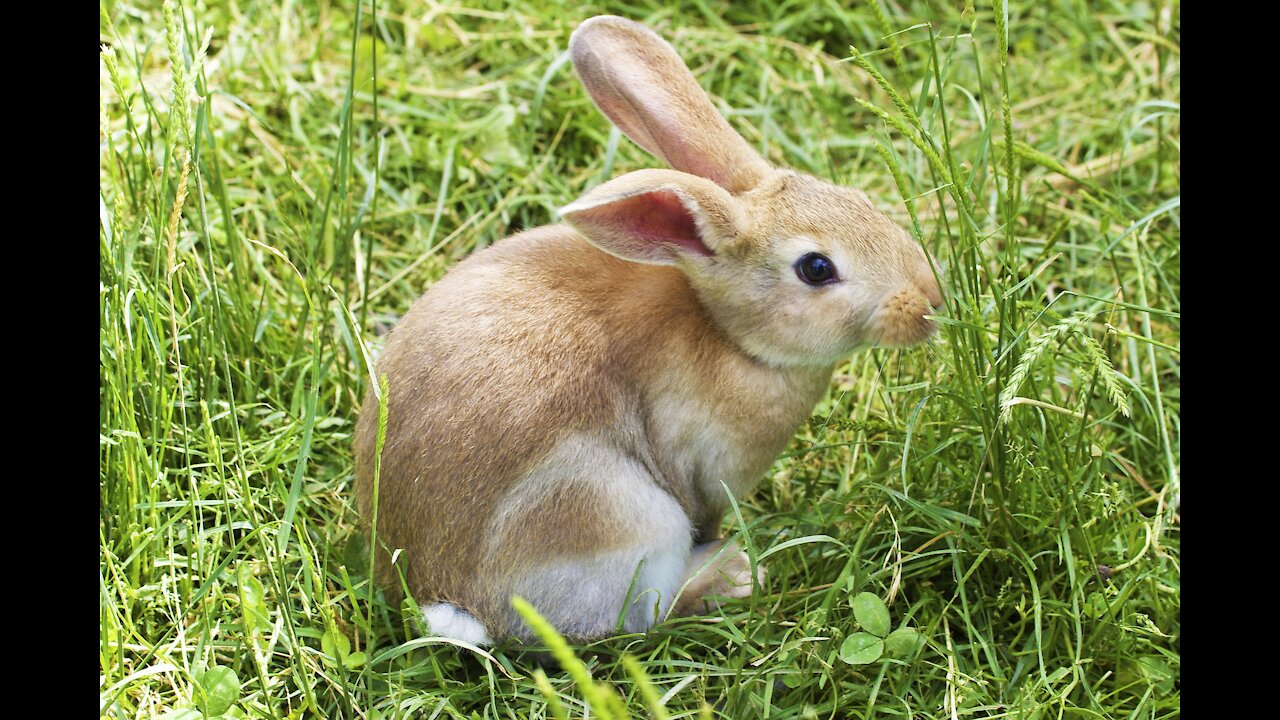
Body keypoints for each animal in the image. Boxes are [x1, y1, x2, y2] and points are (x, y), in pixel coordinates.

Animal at [355, 15, 947, 645]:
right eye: (816, 268)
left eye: (860, 201)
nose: (930, 300)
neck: (729, 335)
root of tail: (447, 597)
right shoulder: (703, 470)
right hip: (619, 516)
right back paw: (731, 576)